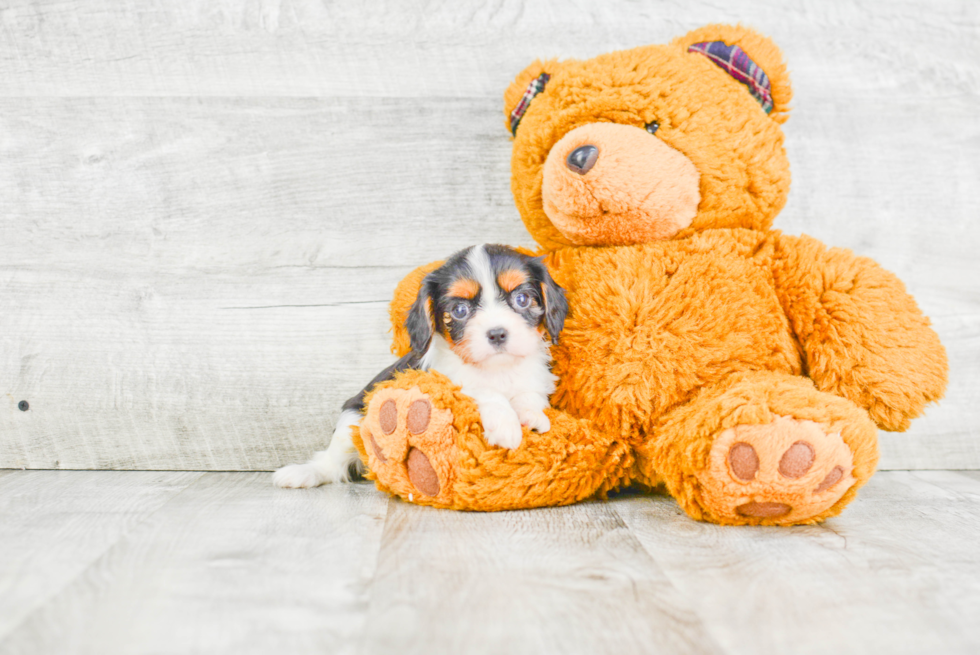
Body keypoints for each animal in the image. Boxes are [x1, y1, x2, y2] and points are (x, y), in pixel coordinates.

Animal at [274, 245, 568, 486]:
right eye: (460, 311)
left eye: (522, 299)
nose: (497, 334)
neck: (497, 368)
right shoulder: (446, 380)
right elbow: (486, 392)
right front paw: (506, 425)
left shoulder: (535, 376)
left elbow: (529, 394)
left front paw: (531, 416)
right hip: (352, 418)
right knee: (332, 464)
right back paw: (305, 473)